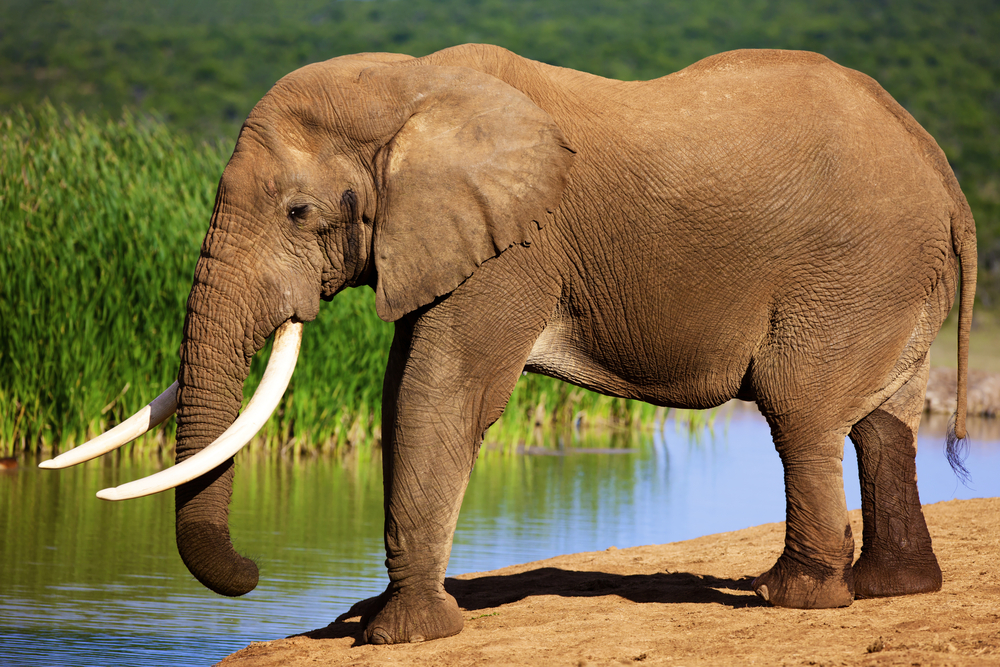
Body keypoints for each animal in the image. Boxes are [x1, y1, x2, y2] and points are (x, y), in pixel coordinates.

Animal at [43, 44, 976, 645]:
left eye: (300, 213)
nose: (254, 570)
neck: (414, 85)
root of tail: (944, 172)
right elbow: (402, 390)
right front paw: (388, 621)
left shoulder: (516, 247)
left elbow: (441, 390)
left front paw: (402, 636)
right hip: (891, 277)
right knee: (879, 422)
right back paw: (892, 587)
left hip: (854, 266)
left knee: (802, 410)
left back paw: (795, 599)